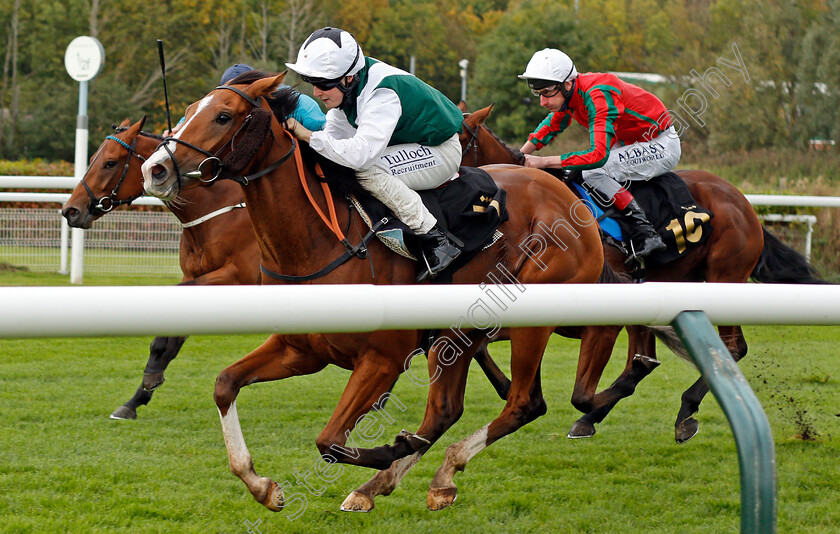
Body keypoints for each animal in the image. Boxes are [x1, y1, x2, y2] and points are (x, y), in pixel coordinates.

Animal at [60, 119, 260, 420]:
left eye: (109, 162)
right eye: (92, 158)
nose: (70, 210)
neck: (219, 210)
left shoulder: (239, 277)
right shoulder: (196, 276)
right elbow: (173, 336)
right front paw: (137, 397)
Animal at [141, 74, 608, 516]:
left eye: (223, 116)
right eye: (187, 110)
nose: (155, 169)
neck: (318, 242)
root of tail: (573, 200)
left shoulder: (383, 358)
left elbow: (329, 440)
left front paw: (392, 446)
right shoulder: (300, 349)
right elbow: (225, 384)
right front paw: (262, 486)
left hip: (530, 322)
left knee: (524, 403)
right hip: (457, 335)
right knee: (444, 410)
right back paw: (407, 483)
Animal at [456, 102, 824, 446]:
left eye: (456, 139)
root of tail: (742, 202)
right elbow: (480, 342)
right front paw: (509, 389)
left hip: (724, 277)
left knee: (732, 347)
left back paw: (681, 410)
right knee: (656, 359)